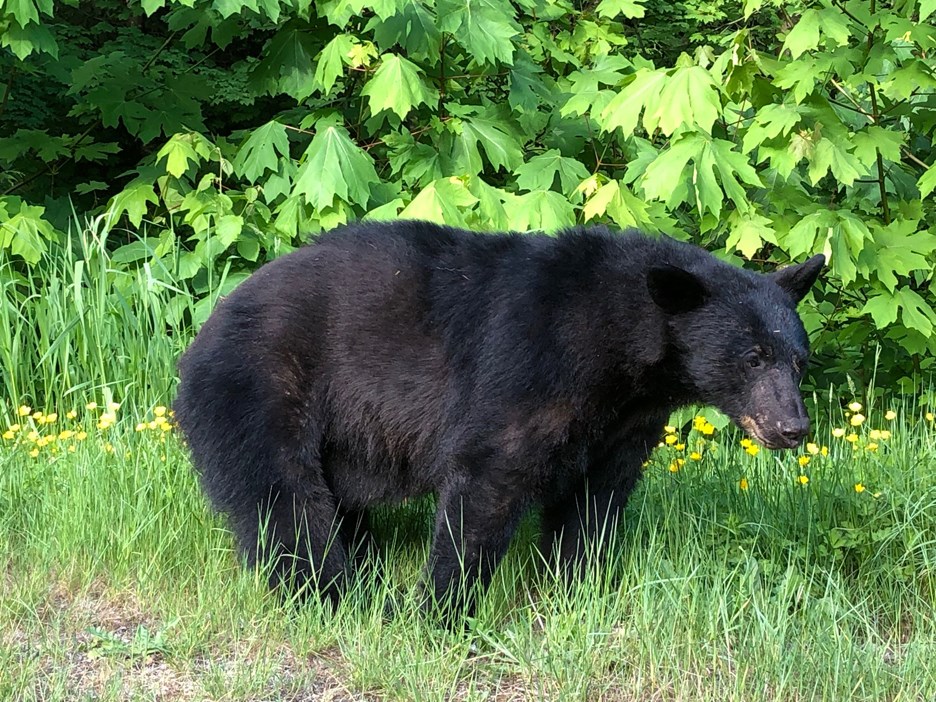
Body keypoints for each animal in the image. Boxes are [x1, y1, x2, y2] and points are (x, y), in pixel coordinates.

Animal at [172, 221, 824, 616]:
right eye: (753, 357)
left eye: (799, 359)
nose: (793, 428)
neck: (620, 341)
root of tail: (206, 328)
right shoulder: (530, 363)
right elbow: (489, 478)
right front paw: (442, 610)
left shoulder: (622, 422)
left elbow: (596, 500)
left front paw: (573, 590)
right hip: (262, 384)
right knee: (282, 499)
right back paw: (331, 592)